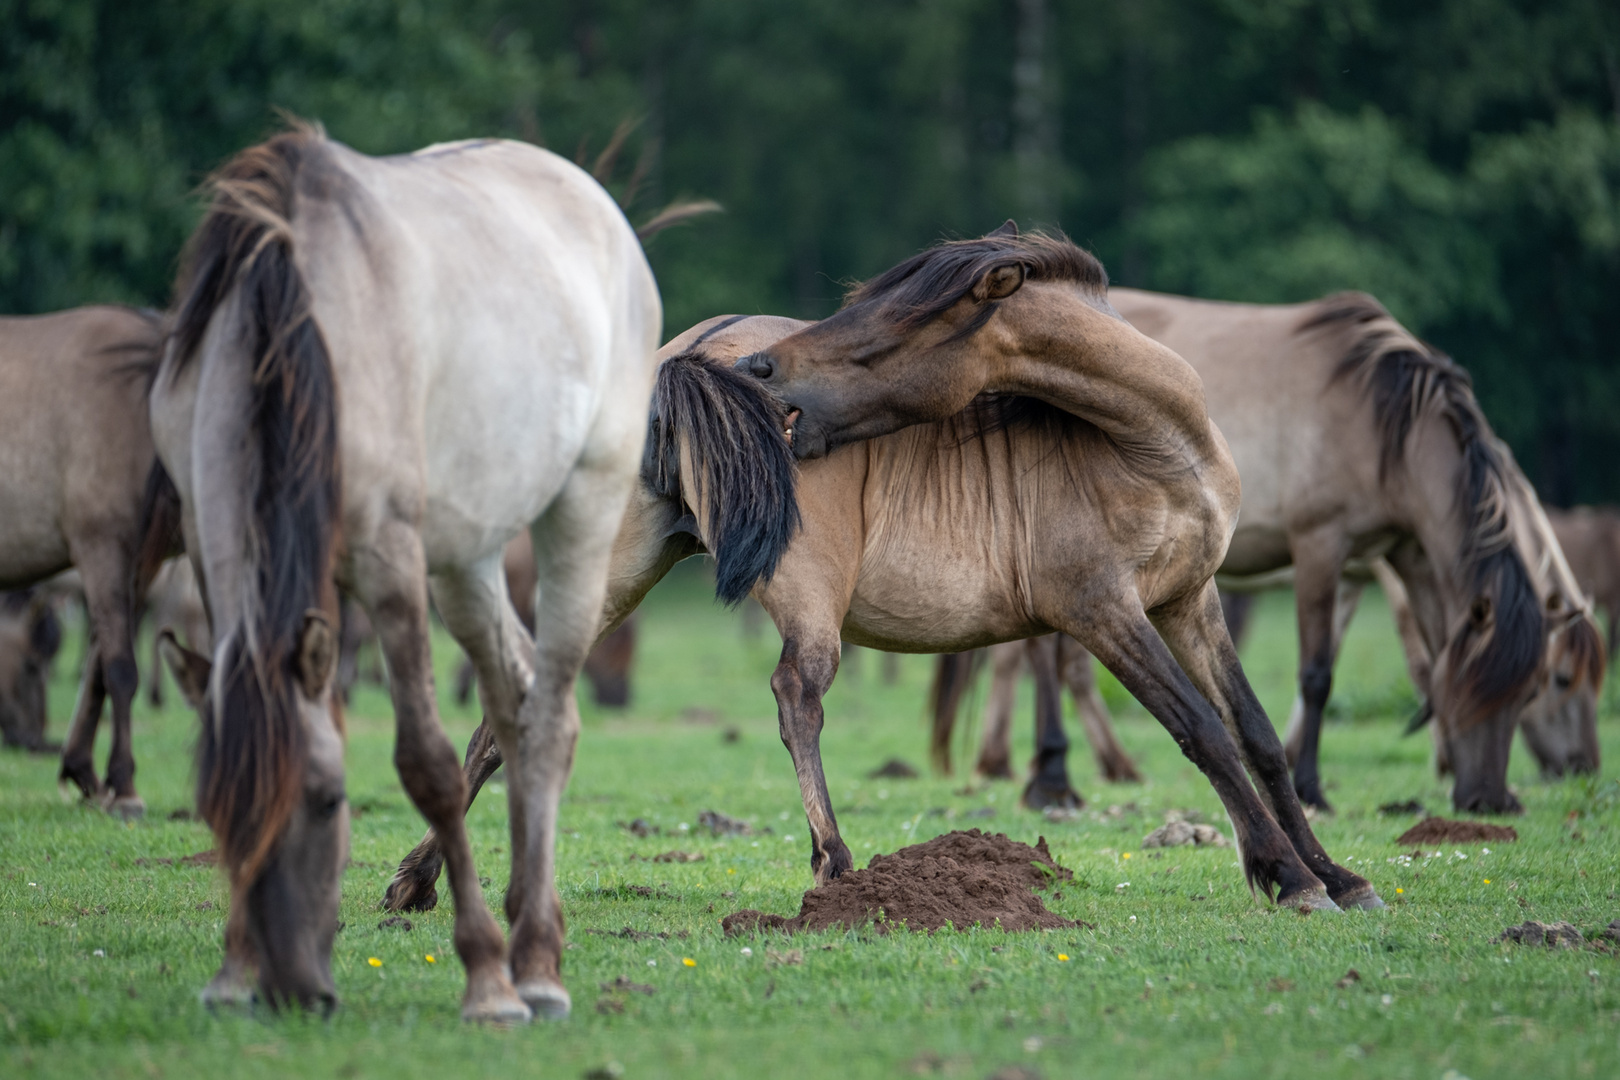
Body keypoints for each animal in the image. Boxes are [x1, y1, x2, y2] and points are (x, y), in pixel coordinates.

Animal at [0, 302, 171, 809]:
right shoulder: (103, 548)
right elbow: (118, 666)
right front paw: (125, 784)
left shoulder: (136, 563)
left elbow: (98, 664)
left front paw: (86, 772)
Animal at [145, 124, 660, 1023]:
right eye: (213, 810)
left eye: (328, 802)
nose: (295, 992)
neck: (293, 325)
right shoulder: (213, 548)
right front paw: (233, 971)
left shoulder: (389, 562)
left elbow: (426, 764)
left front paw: (485, 978)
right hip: (467, 555)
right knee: (513, 703)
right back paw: (530, 922)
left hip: (580, 512)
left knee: (551, 715)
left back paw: (533, 964)